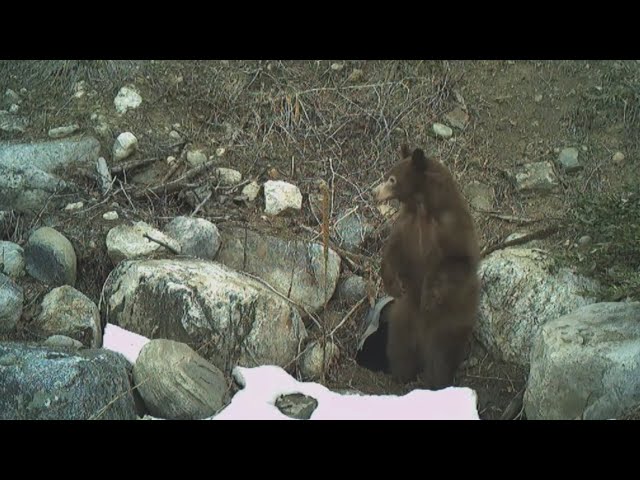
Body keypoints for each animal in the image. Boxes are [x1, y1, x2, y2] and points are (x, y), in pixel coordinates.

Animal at [370, 145, 480, 390]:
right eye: (387, 175)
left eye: (391, 179)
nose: (373, 192)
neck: (423, 209)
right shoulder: (405, 225)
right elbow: (393, 252)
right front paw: (392, 284)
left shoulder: (453, 228)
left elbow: (457, 261)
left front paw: (429, 295)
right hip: (402, 319)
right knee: (400, 350)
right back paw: (401, 376)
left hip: (447, 328)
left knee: (440, 360)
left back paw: (434, 384)